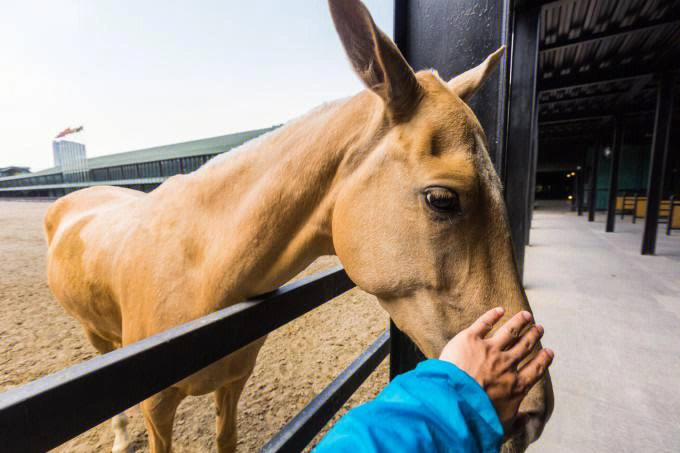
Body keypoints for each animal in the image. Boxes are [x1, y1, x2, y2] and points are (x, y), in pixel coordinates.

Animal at [43, 0, 552, 452]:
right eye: (442, 199)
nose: (535, 413)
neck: (197, 268)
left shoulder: (233, 382)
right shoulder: (157, 408)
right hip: (96, 338)